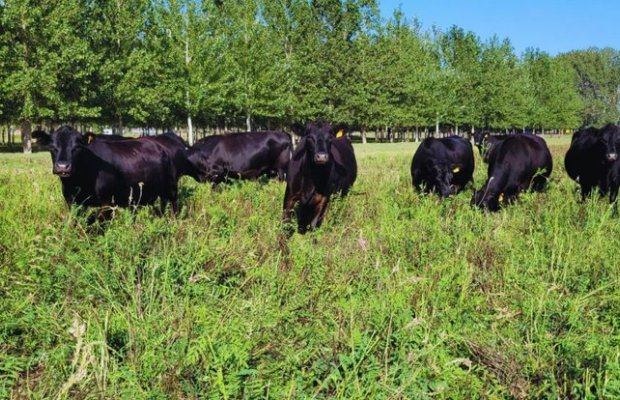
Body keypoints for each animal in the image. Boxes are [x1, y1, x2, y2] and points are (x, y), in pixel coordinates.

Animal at [34, 127, 180, 216]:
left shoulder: (107, 202)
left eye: (78, 147)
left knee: (173, 206)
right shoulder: (72, 202)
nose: (63, 166)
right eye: (51, 147)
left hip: (171, 189)